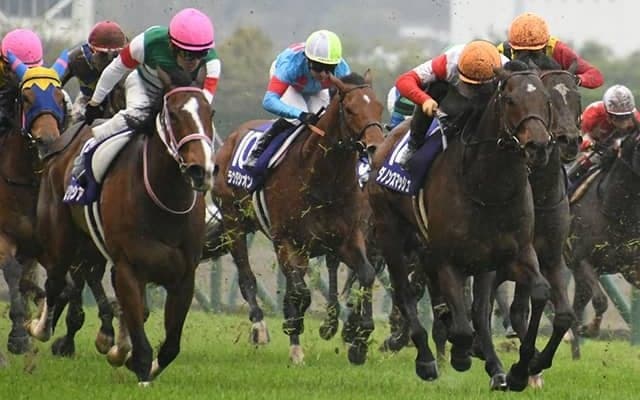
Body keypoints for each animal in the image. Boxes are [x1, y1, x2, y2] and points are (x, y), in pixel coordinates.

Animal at [28, 68, 214, 384]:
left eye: (210, 112)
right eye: (174, 115)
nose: (201, 170)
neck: (165, 200)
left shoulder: (184, 276)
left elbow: (170, 345)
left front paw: (133, 359)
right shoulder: (129, 267)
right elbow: (141, 339)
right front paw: (138, 369)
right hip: (60, 238)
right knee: (55, 282)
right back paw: (40, 327)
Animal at [212, 71, 384, 364]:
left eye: (379, 106)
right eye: (350, 109)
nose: (374, 147)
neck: (323, 179)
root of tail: (231, 139)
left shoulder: (347, 238)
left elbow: (366, 274)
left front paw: (360, 340)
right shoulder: (286, 240)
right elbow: (300, 292)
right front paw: (296, 335)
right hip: (234, 223)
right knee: (247, 278)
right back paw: (260, 328)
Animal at [367, 65, 554, 389]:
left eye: (545, 100)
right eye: (510, 100)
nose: (539, 146)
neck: (489, 188)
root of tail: (385, 143)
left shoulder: (515, 253)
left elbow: (538, 293)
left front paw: (519, 370)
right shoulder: (448, 261)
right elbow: (463, 327)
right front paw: (460, 354)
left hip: (467, 260)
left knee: (477, 312)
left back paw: (495, 366)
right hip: (391, 236)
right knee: (405, 292)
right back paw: (427, 359)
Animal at [567, 126, 640, 360]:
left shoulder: (632, 267)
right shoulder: (582, 260)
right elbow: (601, 301)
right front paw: (590, 329)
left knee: (577, 305)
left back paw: (575, 356)